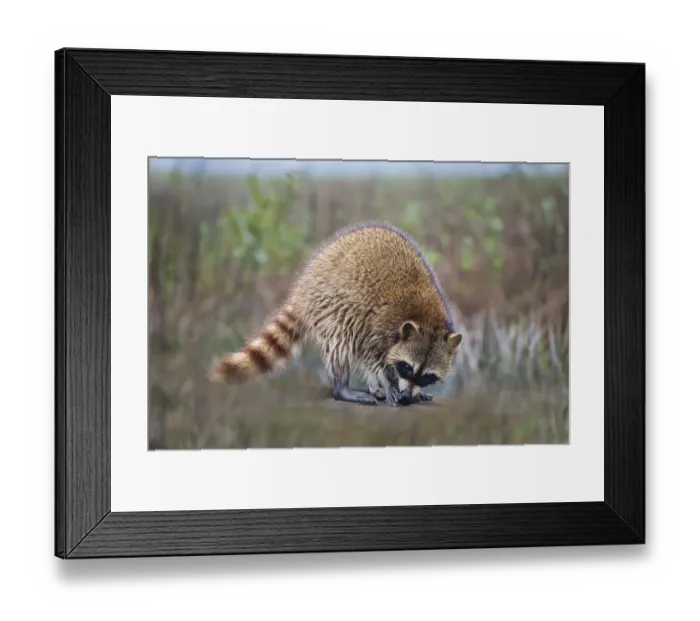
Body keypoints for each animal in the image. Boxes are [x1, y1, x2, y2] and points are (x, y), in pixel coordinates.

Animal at [209, 221, 463, 406]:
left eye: (427, 376)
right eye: (407, 367)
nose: (407, 397)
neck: (427, 321)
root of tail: (306, 285)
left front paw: (409, 390)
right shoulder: (380, 323)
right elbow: (375, 357)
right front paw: (389, 382)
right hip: (333, 306)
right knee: (342, 342)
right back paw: (342, 387)